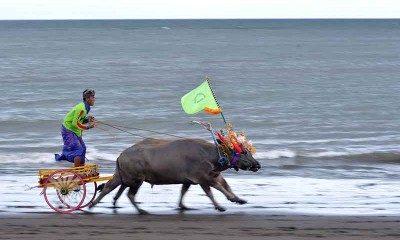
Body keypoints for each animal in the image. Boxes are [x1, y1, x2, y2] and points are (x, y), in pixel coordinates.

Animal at [89, 137, 260, 214]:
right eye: (244, 152)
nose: (257, 165)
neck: (212, 155)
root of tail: (121, 155)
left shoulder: (193, 180)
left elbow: (185, 191)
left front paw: (239, 199)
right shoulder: (203, 178)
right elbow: (215, 190)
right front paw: (224, 203)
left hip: (123, 177)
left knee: (113, 188)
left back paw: (106, 204)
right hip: (137, 179)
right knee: (125, 193)